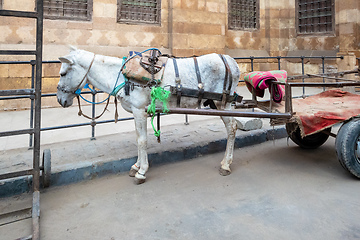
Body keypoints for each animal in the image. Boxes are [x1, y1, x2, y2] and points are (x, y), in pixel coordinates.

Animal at [56, 48, 240, 184]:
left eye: (63, 73)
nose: (59, 99)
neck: (123, 76)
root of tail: (231, 62)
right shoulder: (137, 112)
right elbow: (139, 138)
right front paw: (136, 166)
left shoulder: (139, 111)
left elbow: (142, 141)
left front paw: (142, 171)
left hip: (223, 104)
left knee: (232, 128)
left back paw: (226, 164)